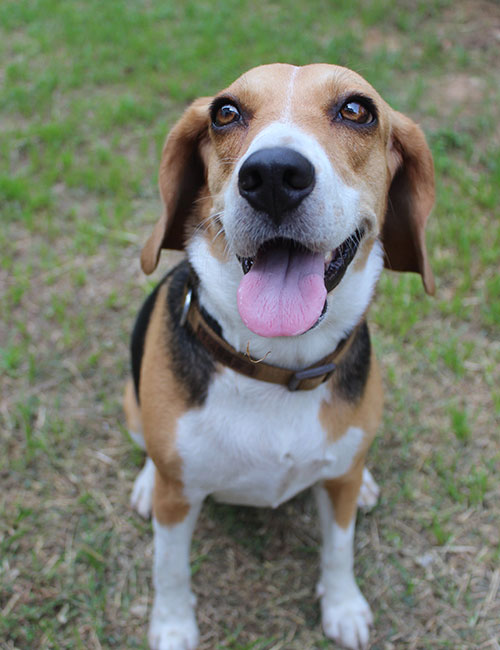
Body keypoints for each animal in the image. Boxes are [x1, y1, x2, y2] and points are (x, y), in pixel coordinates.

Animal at [123, 64, 436, 648]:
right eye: (224, 113)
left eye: (357, 110)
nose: (271, 174)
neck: (276, 369)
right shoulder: (177, 503)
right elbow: (169, 568)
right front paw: (173, 626)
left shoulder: (337, 494)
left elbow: (339, 549)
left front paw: (343, 606)